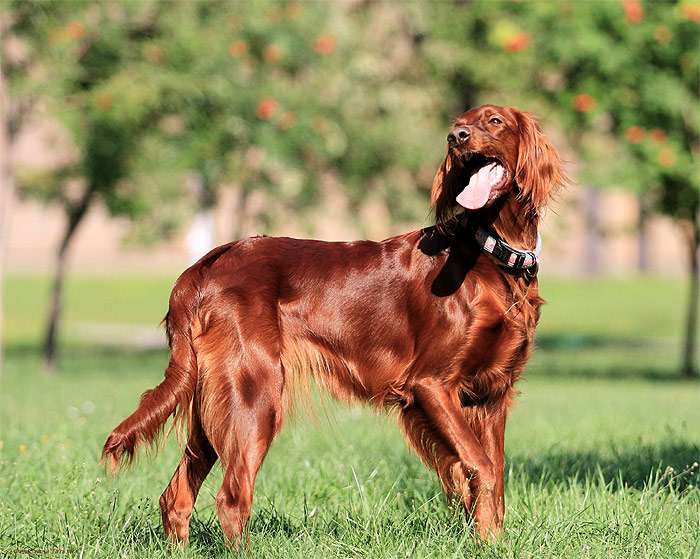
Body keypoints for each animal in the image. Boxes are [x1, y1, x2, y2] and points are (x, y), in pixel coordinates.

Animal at [102, 105, 564, 548]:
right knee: (232, 499)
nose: (457, 137)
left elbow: (494, 476)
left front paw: (491, 541)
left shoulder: (492, 395)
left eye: (494, 120)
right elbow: (483, 468)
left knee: (176, 496)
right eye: (459, 124)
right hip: (254, 394)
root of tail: (202, 267)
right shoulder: (430, 385)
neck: (492, 255)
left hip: (215, 401)